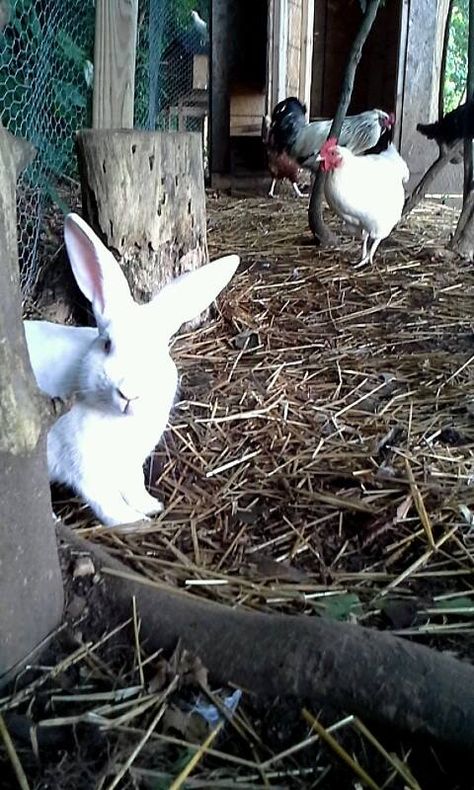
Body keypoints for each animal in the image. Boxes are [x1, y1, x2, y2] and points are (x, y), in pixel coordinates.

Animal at [24, 213, 239, 528]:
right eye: (107, 344)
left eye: (159, 352)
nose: (129, 395)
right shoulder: (86, 469)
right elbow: (106, 502)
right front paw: (135, 522)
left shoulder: (129, 466)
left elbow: (133, 485)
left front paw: (150, 506)